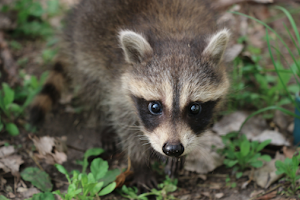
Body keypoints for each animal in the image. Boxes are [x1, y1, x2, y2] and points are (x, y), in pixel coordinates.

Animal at [29, 0, 230, 188]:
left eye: (194, 108)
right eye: (155, 107)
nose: (173, 149)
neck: (175, 36)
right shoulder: (119, 87)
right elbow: (125, 125)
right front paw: (141, 164)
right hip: (83, 48)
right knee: (91, 88)